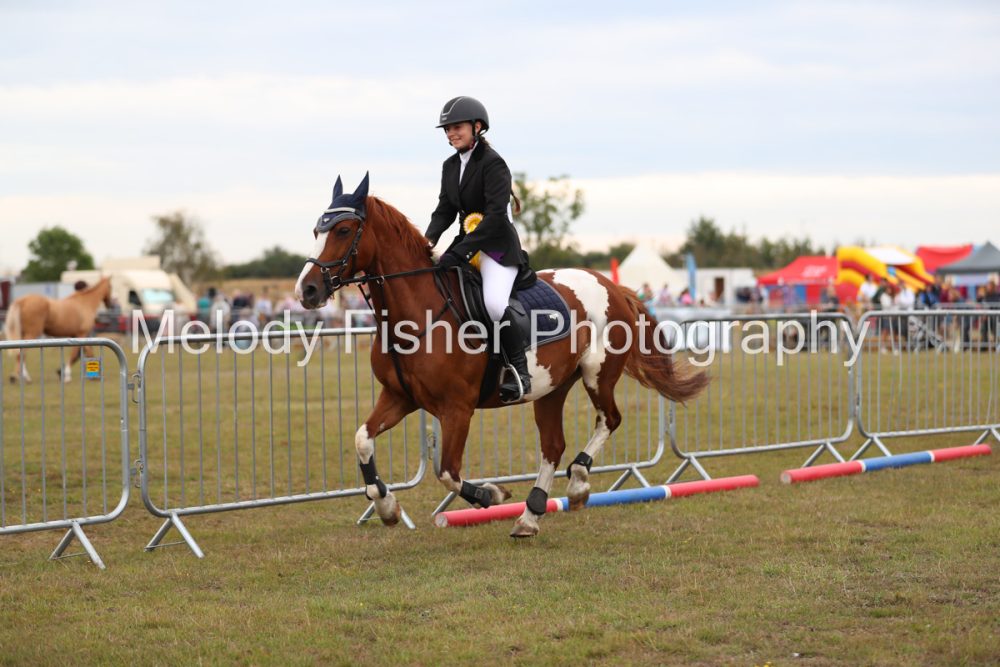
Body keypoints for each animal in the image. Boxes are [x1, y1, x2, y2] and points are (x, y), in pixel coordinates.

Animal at [295, 175, 709, 536]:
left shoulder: (457, 409)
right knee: (552, 446)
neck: (418, 315)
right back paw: (530, 515)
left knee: (609, 420)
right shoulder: (400, 397)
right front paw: (386, 507)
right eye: (316, 231)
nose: (307, 290)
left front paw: (492, 494)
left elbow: (447, 471)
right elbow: (363, 440)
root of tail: (610, 284)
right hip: (551, 387)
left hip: (598, 374)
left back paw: (577, 485)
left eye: (343, 231)